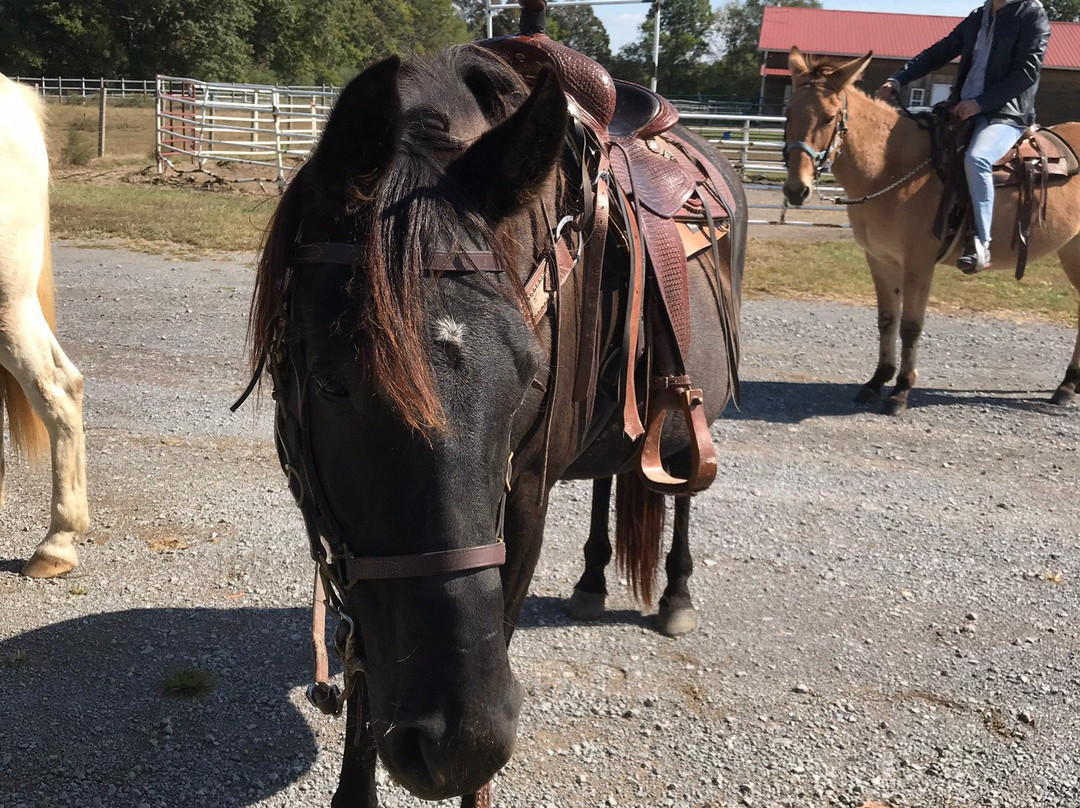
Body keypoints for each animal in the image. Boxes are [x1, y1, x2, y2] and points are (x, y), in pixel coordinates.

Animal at [247, 41, 743, 806]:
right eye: (330, 382)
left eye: (524, 376)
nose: (463, 738)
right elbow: (363, 676)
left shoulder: (526, 499)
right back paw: (591, 582)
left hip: (689, 417)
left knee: (681, 489)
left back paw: (676, 595)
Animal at [782, 48, 1080, 414]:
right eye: (788, 113)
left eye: (827, 118)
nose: (797, 189)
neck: (890, 167)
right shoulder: (880, 259)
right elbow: (887, 320)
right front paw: (877, 381)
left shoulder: (918, 263)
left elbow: (910, 326)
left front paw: (900, 391)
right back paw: (1069, 384)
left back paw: (1066, 385)